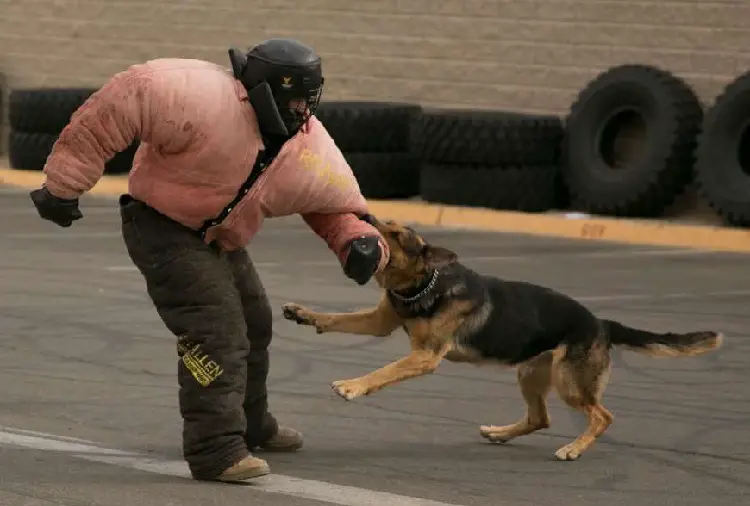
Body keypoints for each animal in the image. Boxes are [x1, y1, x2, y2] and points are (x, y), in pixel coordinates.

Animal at [280, 215, 724, 460]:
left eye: (398, 235)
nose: (364, 216)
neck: (425, 286)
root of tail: (601, 323)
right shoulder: (378, 322)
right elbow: (337, 319)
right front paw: (304, 314)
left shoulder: (425, 356)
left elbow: (383, 371)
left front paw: (352, 386)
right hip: (531, 374)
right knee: (541, 418)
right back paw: (500, 433)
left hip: (569, 381)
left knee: (602, 416)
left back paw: (573, 449)